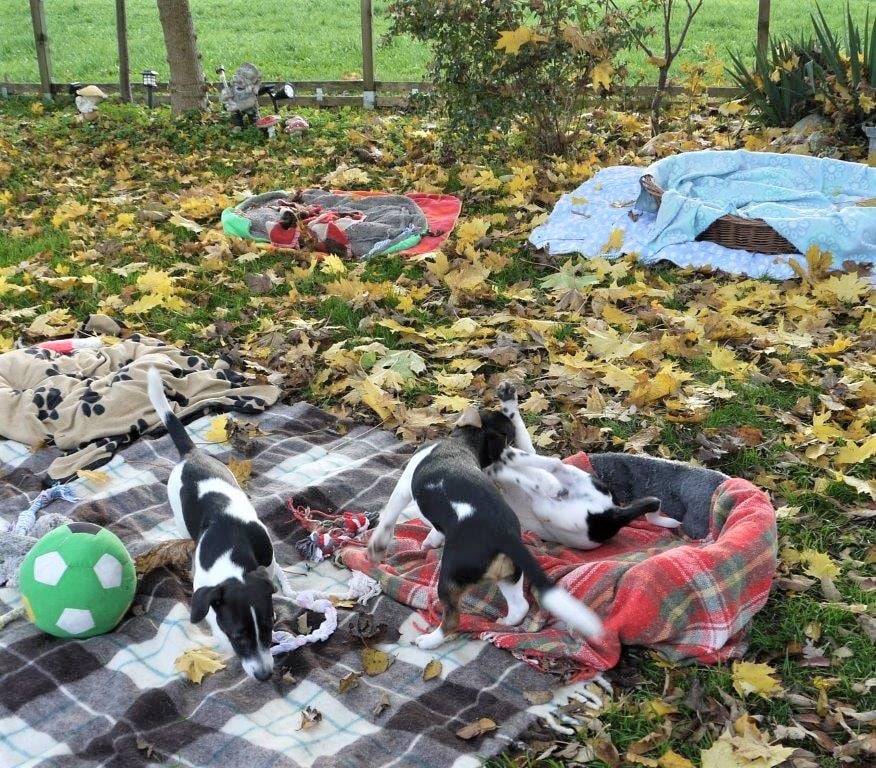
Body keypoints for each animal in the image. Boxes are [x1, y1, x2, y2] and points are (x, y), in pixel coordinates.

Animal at [147, 367, 291, 681]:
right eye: (238, 636)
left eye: (269, 627)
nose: (265, 675)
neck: (231, 555)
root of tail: (191, 454)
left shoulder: (265, 556)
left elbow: (274, 571)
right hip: (180, 518)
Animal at [366, 406, 603, 649]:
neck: (465, 442)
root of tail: (506, 536)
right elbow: (435, 530)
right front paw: (431, 541)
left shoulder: (404, 487)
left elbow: (389, 516)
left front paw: (377, 547)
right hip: (509, 574)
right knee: (520, 606)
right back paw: (506, 622)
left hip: (450, 578)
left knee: (452, 619)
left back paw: (429, 641)